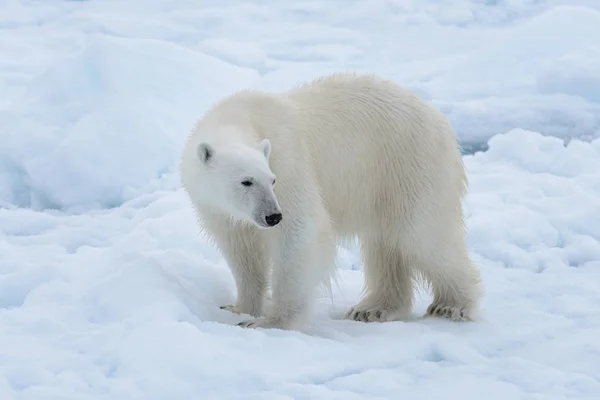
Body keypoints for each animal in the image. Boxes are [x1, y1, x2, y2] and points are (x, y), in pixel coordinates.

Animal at [179, 72, 482, 332]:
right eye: (246, 181)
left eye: (271, 180)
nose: (273, 216)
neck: (238, 117)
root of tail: (437, 116)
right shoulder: (217, 208)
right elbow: (241, 249)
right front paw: (238, 308)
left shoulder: (288, 160)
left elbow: (300, 232)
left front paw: (271, 321)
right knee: (385, 244)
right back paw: (373, 309)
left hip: (411, 164)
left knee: (425, 235)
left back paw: (452, 305)